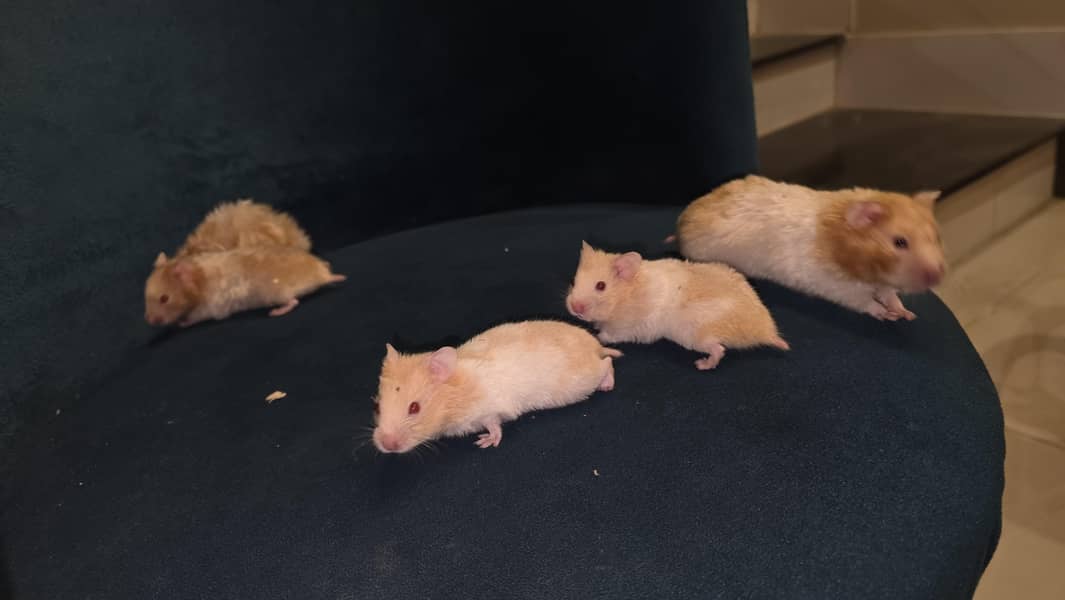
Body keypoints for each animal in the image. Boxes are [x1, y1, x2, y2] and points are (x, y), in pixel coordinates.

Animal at [144, 247, 345, 327]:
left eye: (164, 298)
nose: (150, 321)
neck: (200, 278)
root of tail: (322, 275)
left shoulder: (208, 309)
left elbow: (194, 317)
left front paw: (181, 322)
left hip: (275, 294)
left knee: (293, 302)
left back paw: (276, 312)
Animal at [371, 320, 621, 454]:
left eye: (414, 408)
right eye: (377, 407)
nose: (386, 445)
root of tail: (595, 345)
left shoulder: (491, 409)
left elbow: (494, 425)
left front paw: (485, 442)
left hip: (583, 381)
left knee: (608, 363)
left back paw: (607, 385)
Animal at [566, 242, 787, 370]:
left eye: (600, 286)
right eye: (574, 281)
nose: (575, 308)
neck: (625, 298)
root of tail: (765, 331)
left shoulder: (628, 328)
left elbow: (609, 335)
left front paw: (597, 334)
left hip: (697, 335)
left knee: (719, 349)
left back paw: (702, 365)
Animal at [674, 175, 946, 321]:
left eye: (936, 237)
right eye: (899, 242)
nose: (938, 275)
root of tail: (681, 224)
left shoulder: (884, 284)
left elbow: (891, 296)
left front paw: (906, 314)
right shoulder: (837, 287)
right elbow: (865, 303)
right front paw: (888, 315)